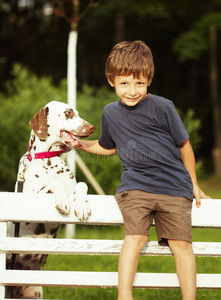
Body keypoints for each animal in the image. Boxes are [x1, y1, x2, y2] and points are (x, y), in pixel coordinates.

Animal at [6, 101, 94, 298]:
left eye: (77, 112)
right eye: (68, 113)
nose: (91, 127)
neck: (48, 160)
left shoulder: (75, 187)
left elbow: (82, 184)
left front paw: (82, 207)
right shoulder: (31, 197)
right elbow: (54, 183)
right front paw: (62, 202)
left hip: (35, 292)